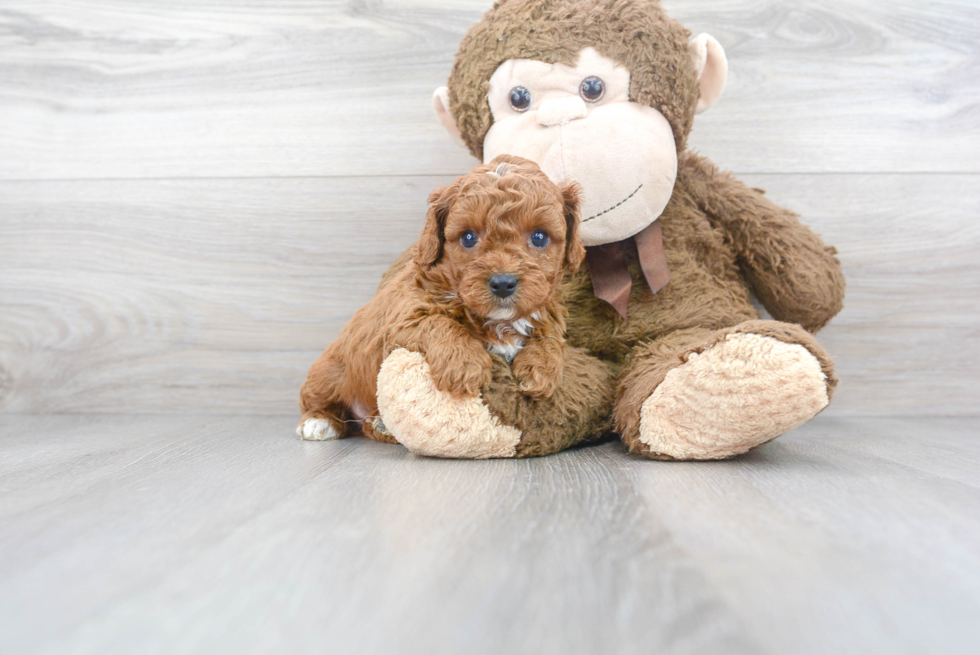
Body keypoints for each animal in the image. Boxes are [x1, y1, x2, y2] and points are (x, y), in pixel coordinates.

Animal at [296, 154, 580, 440]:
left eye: (539, 237)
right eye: (468, 237)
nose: (502, 283)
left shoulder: (547, 307)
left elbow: (550, 336)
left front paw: (541, 370)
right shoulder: (401, 318)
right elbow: (440, 322)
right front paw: (465, 365)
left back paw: (379, 425)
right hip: (329, 372)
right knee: (315, 398)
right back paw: (319, 423)